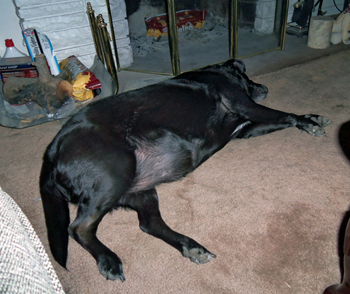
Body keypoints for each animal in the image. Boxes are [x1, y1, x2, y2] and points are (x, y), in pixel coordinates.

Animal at [39, 58, 330, 282]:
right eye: (247, 77)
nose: (265, 87)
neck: (216, 72)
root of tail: (53, 148)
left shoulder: (246, 127)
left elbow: (282, 119)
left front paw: (312, 118)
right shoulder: (246, 105)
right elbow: (284, 114)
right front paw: (308, 122)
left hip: (140, 188)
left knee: (149, 224)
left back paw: (191, 247)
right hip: (115, 172)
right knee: (79, 228)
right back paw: (108, 260)